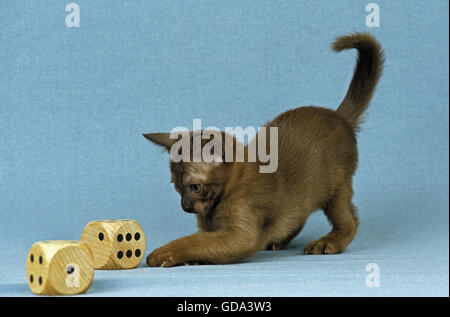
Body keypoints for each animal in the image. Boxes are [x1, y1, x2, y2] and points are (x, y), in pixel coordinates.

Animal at [143, 32, 384, 266]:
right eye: (176, 188)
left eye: (195, 187)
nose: (185, 206)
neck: (215, 209)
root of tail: (338, 115)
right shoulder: (211, 228)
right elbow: (203, 240)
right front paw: (191, 261)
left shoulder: (240, 235)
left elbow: (196, 241)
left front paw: (164, 253)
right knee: (297, 215)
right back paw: (277, 241)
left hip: (336, 190)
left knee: (350, 220)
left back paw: (326, 243)